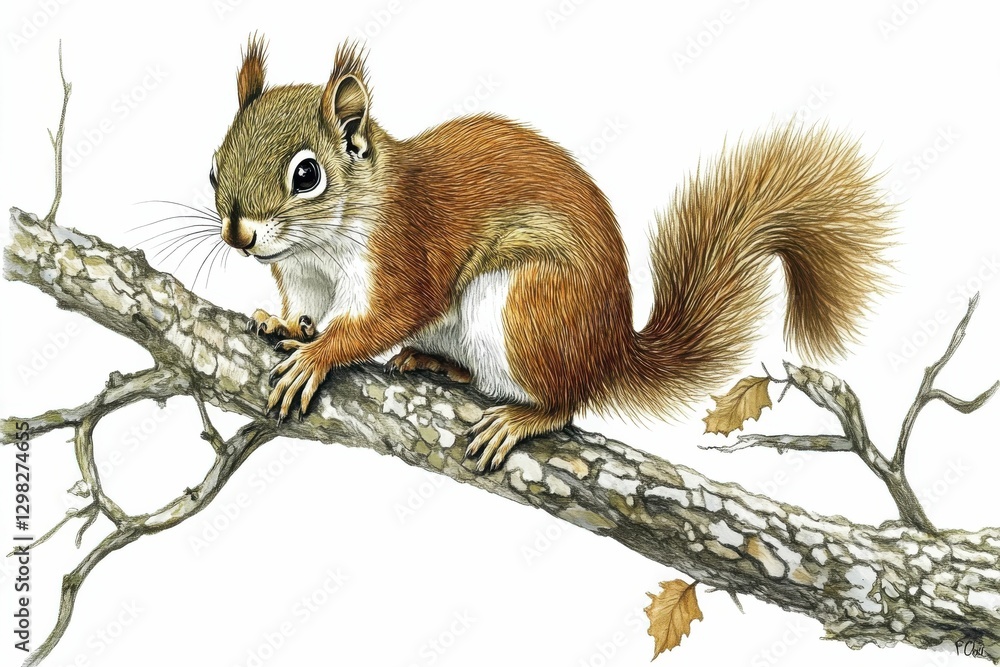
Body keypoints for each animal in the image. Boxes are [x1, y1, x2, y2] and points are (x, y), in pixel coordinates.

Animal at [212, 36, 892, 471]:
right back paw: (437, 364)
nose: (239, 235)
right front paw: (281, 323)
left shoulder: (405, 252)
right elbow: (302, 310)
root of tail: (611, 349)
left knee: (567, 404)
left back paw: (519, 418)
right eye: (214, 164)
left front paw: (317, 355)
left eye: (307, 175)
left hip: (526, 308)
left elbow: (387, 316)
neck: (321, 245)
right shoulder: (303, 276)